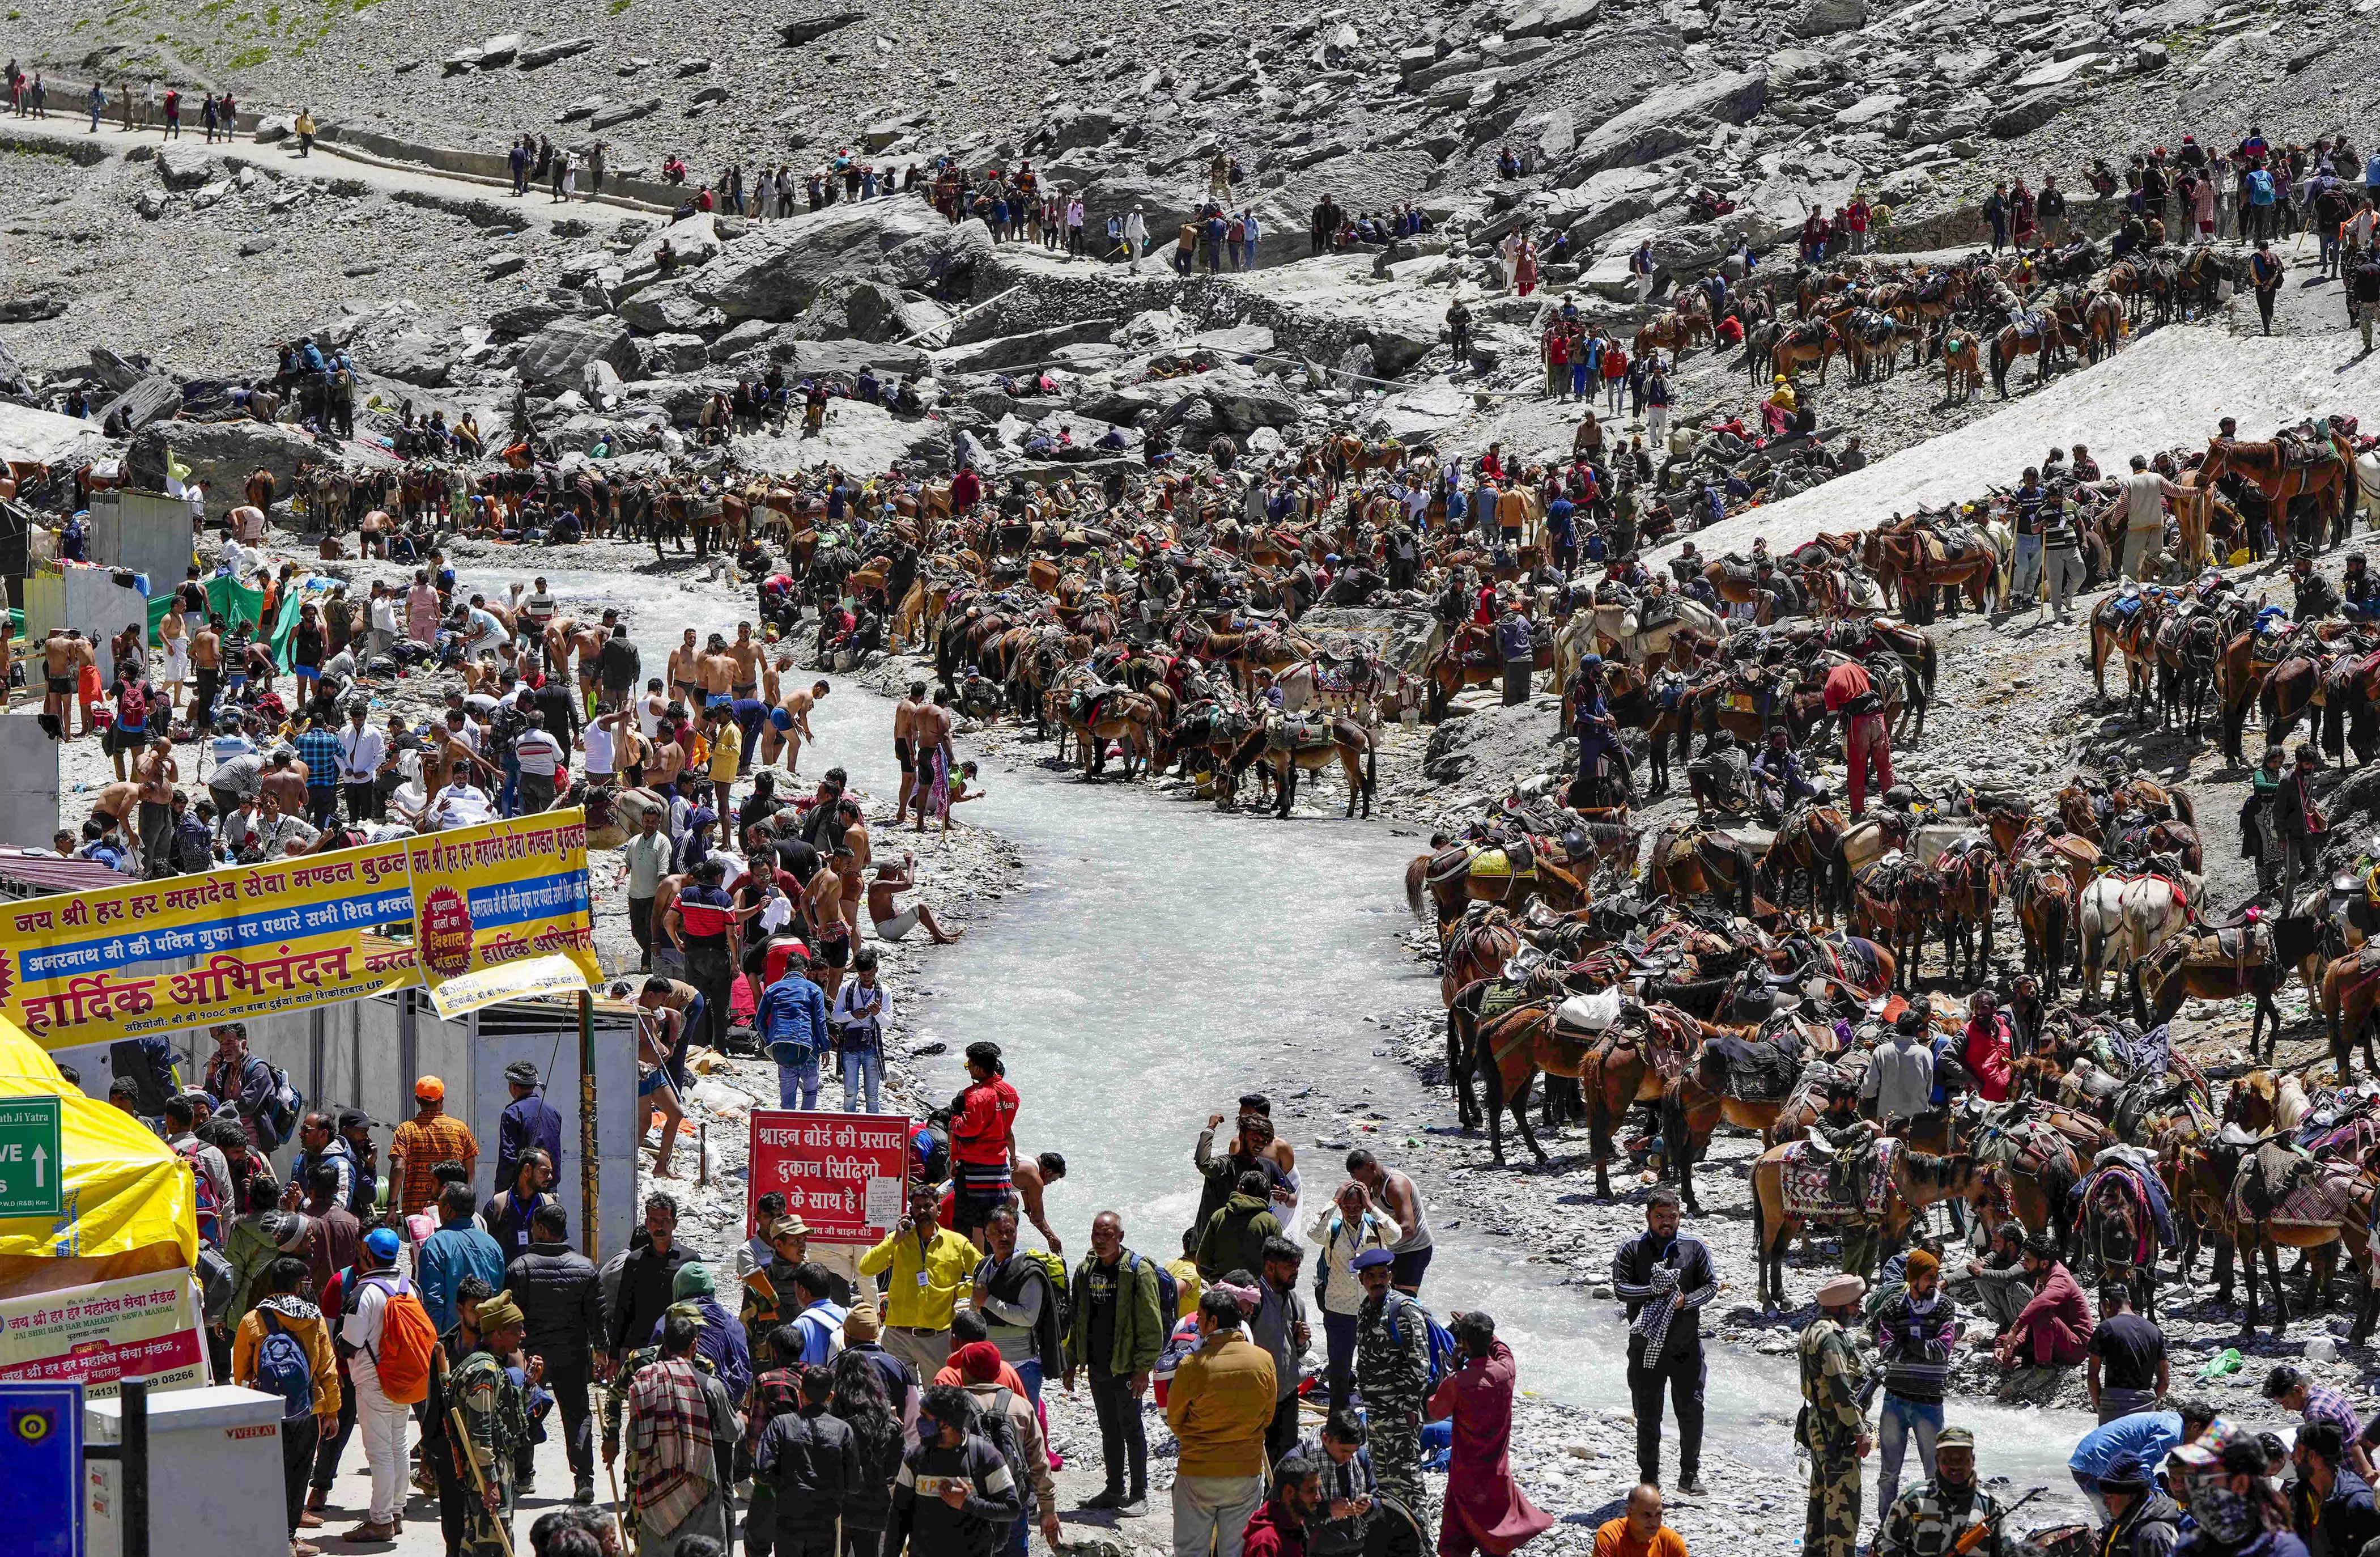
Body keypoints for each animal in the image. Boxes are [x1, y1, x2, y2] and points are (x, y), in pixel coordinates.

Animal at [2085, 871, 2189, 1004]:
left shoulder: (2125, 939)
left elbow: (2123, 960)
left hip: (2089, 933)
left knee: (2087, 960)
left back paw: (2086, 995)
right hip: (2122, 937)